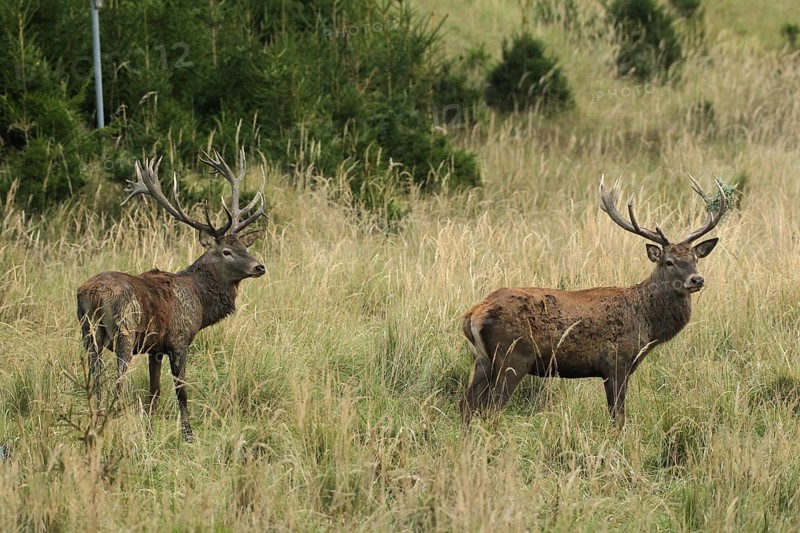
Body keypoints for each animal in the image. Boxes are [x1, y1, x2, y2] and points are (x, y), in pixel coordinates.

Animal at [77, 150, 266, 441]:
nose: (259, 267)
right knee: (117, 381)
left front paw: (149, 433)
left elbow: (153, 391)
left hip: (88, 333)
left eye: (244, 246)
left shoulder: (155, 348)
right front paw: (188, 435)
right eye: (226, 251)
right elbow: (181, 390)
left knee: (94, 378)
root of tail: (93, 294)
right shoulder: (179, 339)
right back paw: (111, 423)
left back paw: (96, 420)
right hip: (124, 331)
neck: (199, 301)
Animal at [460, 175, 726, 428]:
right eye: (669, 261)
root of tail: (473, 314)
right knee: (491, 407)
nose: (697, 279)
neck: (647, 324)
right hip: (513, 356)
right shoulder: (616, 362)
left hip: (482, 359)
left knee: (468, 405)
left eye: (695, 259)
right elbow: (618, 416)